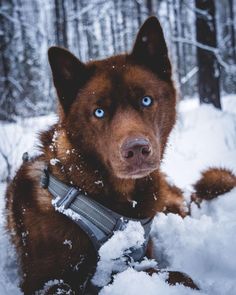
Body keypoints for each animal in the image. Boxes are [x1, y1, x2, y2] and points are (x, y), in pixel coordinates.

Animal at [6, 17, 236, 294]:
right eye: (99, 112)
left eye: (146, 100)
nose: (136, 149)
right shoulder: (42, 279)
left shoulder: (138, 259)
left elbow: (177, 275)